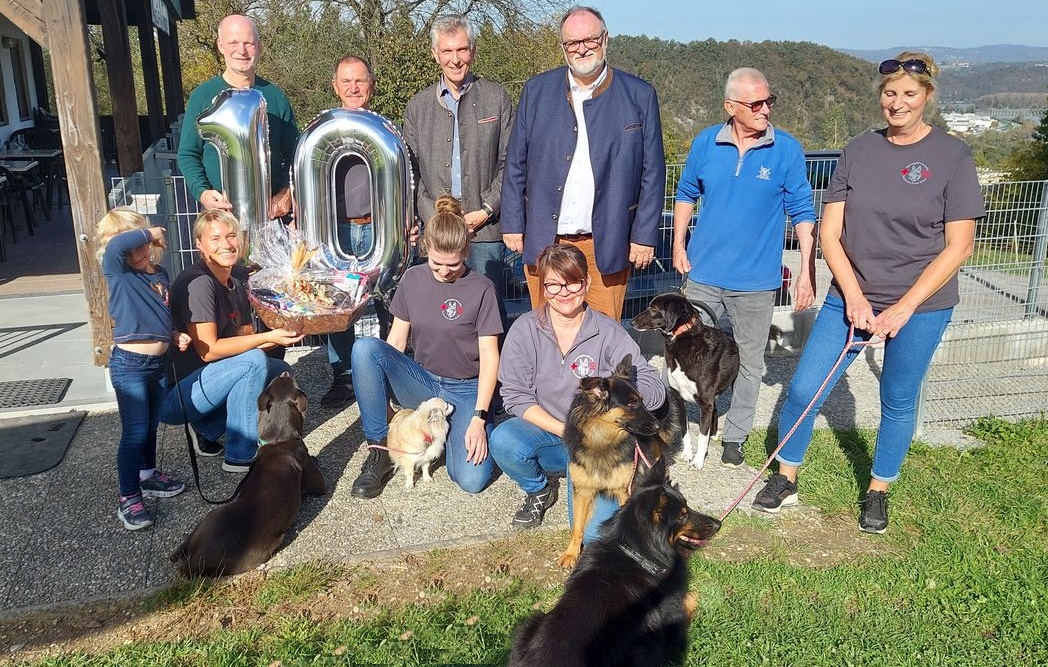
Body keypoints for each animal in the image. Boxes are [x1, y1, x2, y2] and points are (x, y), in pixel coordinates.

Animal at [169, 369, 324, 578]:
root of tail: (196, 561)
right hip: (270, 544)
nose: (285, 371)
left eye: (275, 381)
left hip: (210, 515)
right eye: (294, 382)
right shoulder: (319, 482)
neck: (279, 440)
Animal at [507, 459, 721, 667]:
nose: (719, 524)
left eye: (688, 507)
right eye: (683, 515)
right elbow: (690, 601)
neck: (636, 553)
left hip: (530, 623)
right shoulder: (673, 620)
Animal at [557, 354, 687, 566]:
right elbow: (577, 526)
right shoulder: (583, 490)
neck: (602, 439)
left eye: (642, 401)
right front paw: (571, 553)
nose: (657, 426)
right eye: (632, 403)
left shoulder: (624, 490)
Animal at [628, 291, 737, 469]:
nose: (631, 322)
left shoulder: (705, 403)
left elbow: (701, 436)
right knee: (714, 410)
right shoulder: (679, 398)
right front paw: (687, 454)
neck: (682, 337)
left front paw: (698, 461)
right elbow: (685, 431)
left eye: (654, 308)